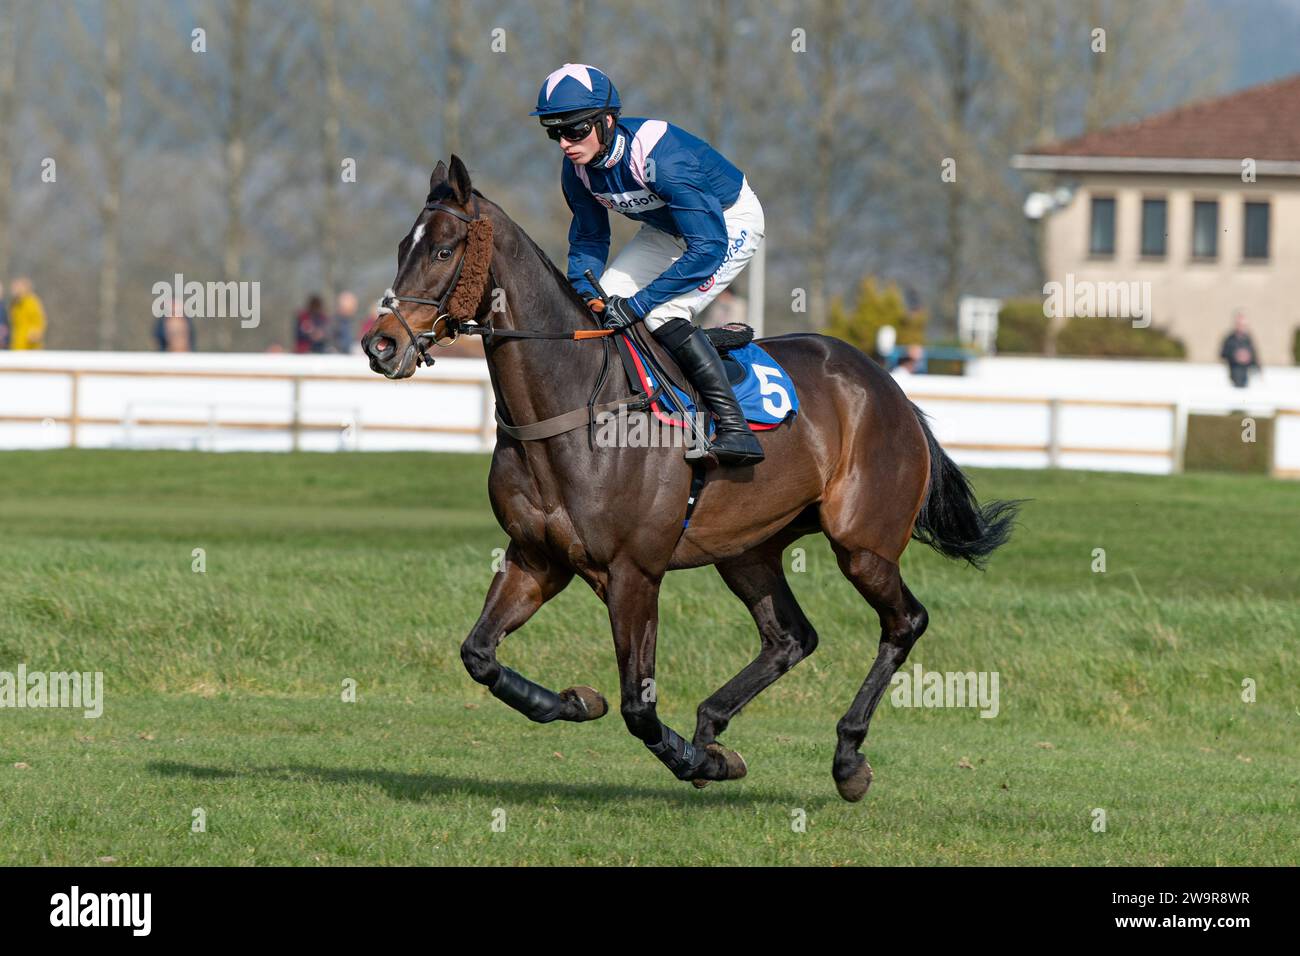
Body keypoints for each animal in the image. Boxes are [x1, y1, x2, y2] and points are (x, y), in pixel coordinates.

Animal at [361, 157, 1019, 801]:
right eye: (399, 248)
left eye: (443, 250)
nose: (380, 344)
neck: (571, 407)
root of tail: (890, 389)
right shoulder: (535, 557)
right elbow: (479, 655)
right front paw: (580, 702)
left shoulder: (634, 572)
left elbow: (638, 707)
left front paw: (694, 759)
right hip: (747, 549)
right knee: (791, 637)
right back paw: (712, 723)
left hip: (864, 544)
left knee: (904, 622)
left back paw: (846, 757)